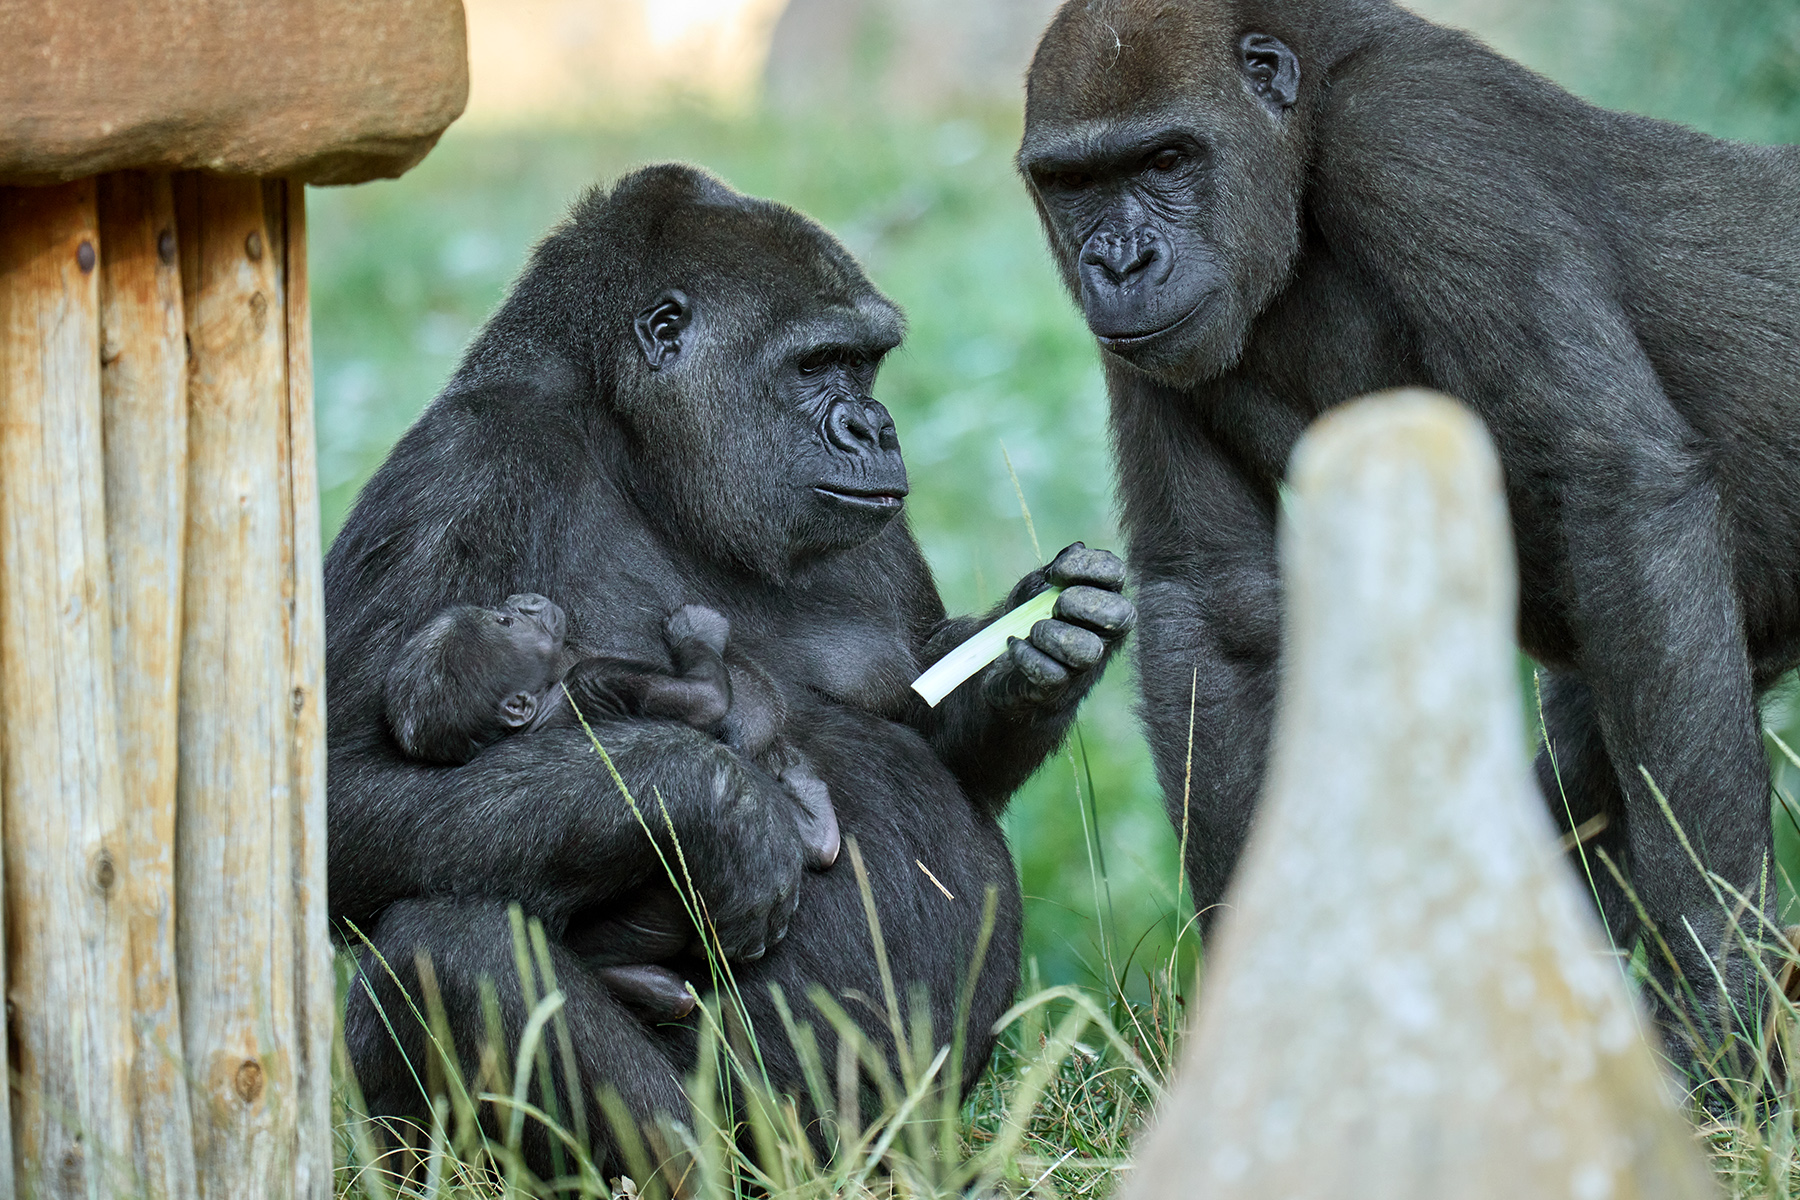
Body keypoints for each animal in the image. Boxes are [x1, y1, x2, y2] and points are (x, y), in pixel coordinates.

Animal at [387, 597, 835, 1021]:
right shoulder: (599, 677)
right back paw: (814, 823)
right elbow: (705, 701)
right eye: (506, 624)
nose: (522, 603)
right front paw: (698, 631)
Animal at [1022, 0, 1800, 1065]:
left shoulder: (1415, 136)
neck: (1305, 127)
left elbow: (1619, 483)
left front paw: (1717, 1008)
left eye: (1167, 159)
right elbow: (1217, 603)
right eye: (1075, 185)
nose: (1119, 263)